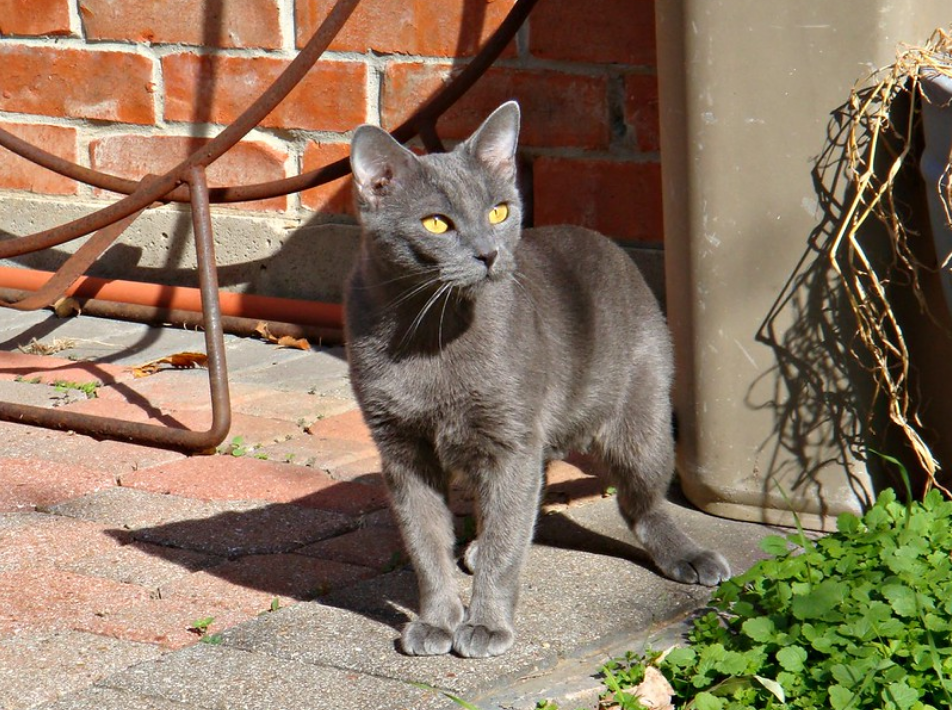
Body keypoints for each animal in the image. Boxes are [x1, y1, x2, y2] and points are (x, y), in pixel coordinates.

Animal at [346, 101, 732, 660]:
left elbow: (506, 544)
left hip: (641, 417)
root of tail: (603, 240)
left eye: (499, 212)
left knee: (640, 501)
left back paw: (690, 555)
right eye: (436, 223)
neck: (428, 332)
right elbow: (425, 542)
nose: (488, 253)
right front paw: (437, 621)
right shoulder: (400, 448)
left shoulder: (509, 441)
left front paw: (485, 625)